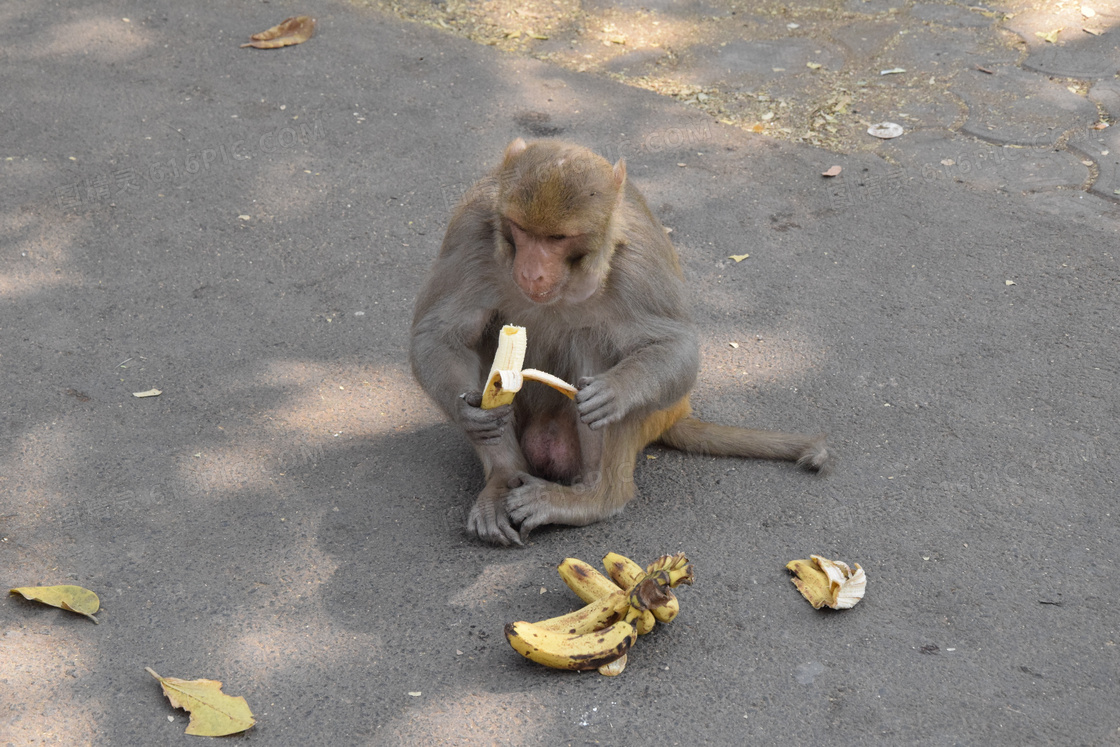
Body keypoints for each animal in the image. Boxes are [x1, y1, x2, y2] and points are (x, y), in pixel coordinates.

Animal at [409, 139, 824, 546]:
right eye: (520, 229)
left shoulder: (638, 261)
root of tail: (677, 415)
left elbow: (676, 347)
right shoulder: (470, 229)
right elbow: (439, 334)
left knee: (594, 343)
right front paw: (470, 411)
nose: (531, 272)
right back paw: (504, 478)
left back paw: (596, 498)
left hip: (655, 411)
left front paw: (616, 390)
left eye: (557, 238)